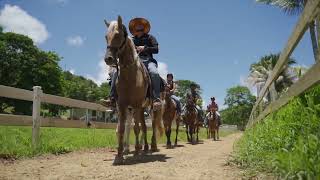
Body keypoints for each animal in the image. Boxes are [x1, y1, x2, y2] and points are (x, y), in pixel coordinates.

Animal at [104, 16, 162, 165]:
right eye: (106, 36)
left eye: (118, 35)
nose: (108, 59)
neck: (130, 76)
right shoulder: (122, 105)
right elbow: (122, 128)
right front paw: (119, 155)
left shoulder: (135, 104)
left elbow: (136, 128)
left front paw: (135, 153)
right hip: (141, 109)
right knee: (144, 126)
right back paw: (145, 148)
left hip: (151, 109)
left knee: (152, 125)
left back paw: (151, 146)